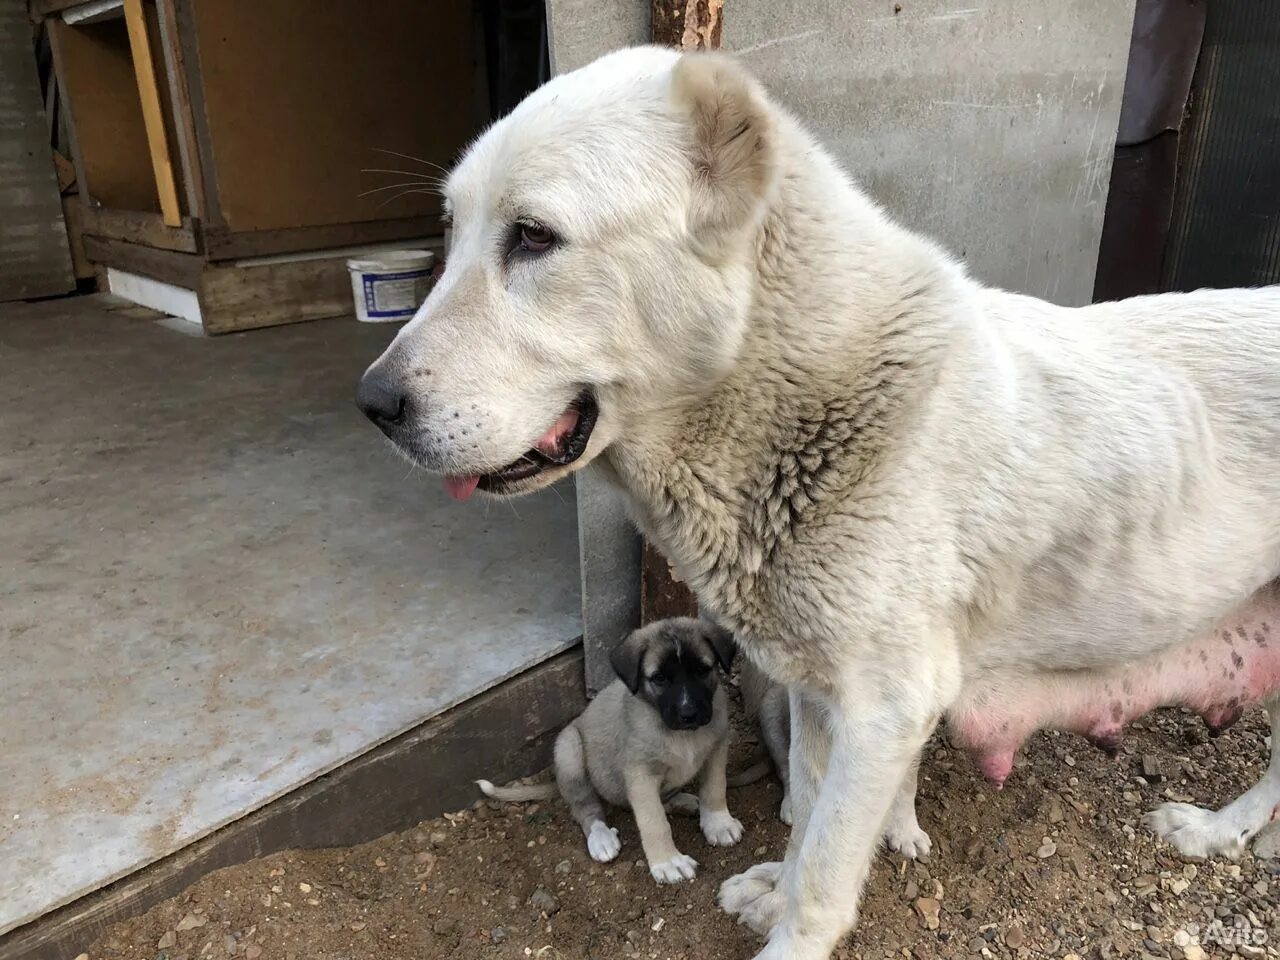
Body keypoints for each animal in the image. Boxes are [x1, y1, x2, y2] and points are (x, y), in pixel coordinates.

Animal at [478, 619, 742, 885]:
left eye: (702, 670)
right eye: (659, 678)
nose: (689, 714)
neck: (682, 735)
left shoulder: (717, 749)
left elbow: (714, 789)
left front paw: (718, 823)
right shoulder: (640, 775)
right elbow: (654, 821)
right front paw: (668, 861)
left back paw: (682, 801)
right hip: (569, 748)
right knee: (587, 808)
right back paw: (601, 837)